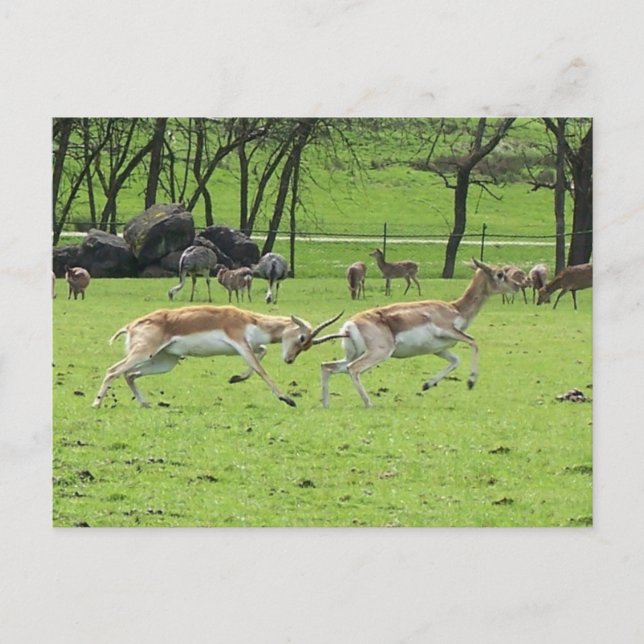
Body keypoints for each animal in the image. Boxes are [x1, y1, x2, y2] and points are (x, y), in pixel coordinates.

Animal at [92, 306, 344, 409]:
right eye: (302, 338)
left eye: (308, 345)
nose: (290, 360)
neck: (250, 320)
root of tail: (131, 325)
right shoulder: (240, 343)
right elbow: (261, 369)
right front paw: (287, 399)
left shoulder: (248, 346)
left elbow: (261, 354)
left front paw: (235, 378)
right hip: (144, 352)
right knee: (113, 370)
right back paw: (96, 403)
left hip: (164, 361)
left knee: (129, 374)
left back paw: (145, 403)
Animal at [320, 258, 519, 408]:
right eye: (500, 274)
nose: (517, 285)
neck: (456, 309)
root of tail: (349, 325)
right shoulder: (448, 330)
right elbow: (473, 342)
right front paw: (471, 382)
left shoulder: (439, 349)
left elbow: (455, 360)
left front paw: (426, 385)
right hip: (379, 353)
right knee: (352, 369)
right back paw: (369, 403)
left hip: (353, 354)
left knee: (327, 366)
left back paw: (325, 403)